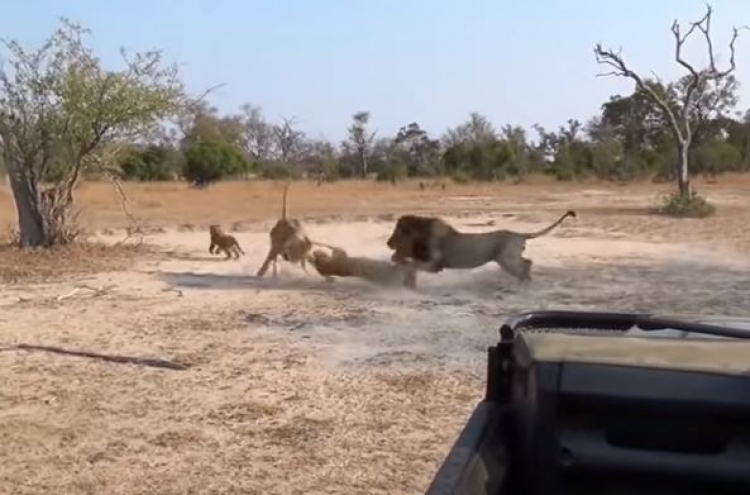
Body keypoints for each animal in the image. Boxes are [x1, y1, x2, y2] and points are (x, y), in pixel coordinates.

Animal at [388, 210, 576, 282]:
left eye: (397, 232)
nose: (388, 243)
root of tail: (519, 234)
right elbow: (408, 263)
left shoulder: (435, 265)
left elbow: (410, 264)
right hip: (508, 258)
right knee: (527, 261)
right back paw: (523, 281)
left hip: (506, 259)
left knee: (526, 264)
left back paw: (524, 281)